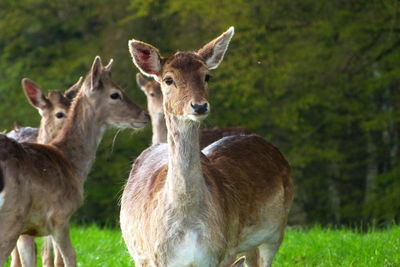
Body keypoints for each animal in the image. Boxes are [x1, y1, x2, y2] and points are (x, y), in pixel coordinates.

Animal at [119, 26, 294, 266]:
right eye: (168, 79)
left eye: (206, 76)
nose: (199, 106)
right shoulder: (154, 257)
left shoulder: (221, 253)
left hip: (276, 230)